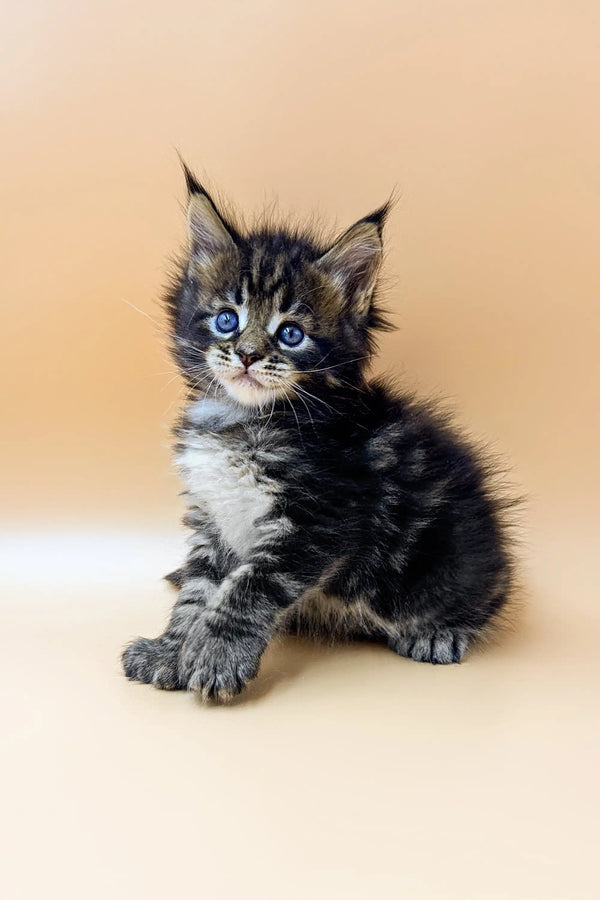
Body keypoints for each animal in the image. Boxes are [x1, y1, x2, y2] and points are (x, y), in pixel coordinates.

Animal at [120, 167, 510, 704]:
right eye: (227, 319)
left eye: (291, 334)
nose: (246, 355)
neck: (240, 421)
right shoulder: (213, 517)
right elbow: (200, 589)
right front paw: (173, 649)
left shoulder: (322, 517)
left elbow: (250, 586)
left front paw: (216, 654)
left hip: (448, 563)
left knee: (482, 596)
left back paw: (441, 632)